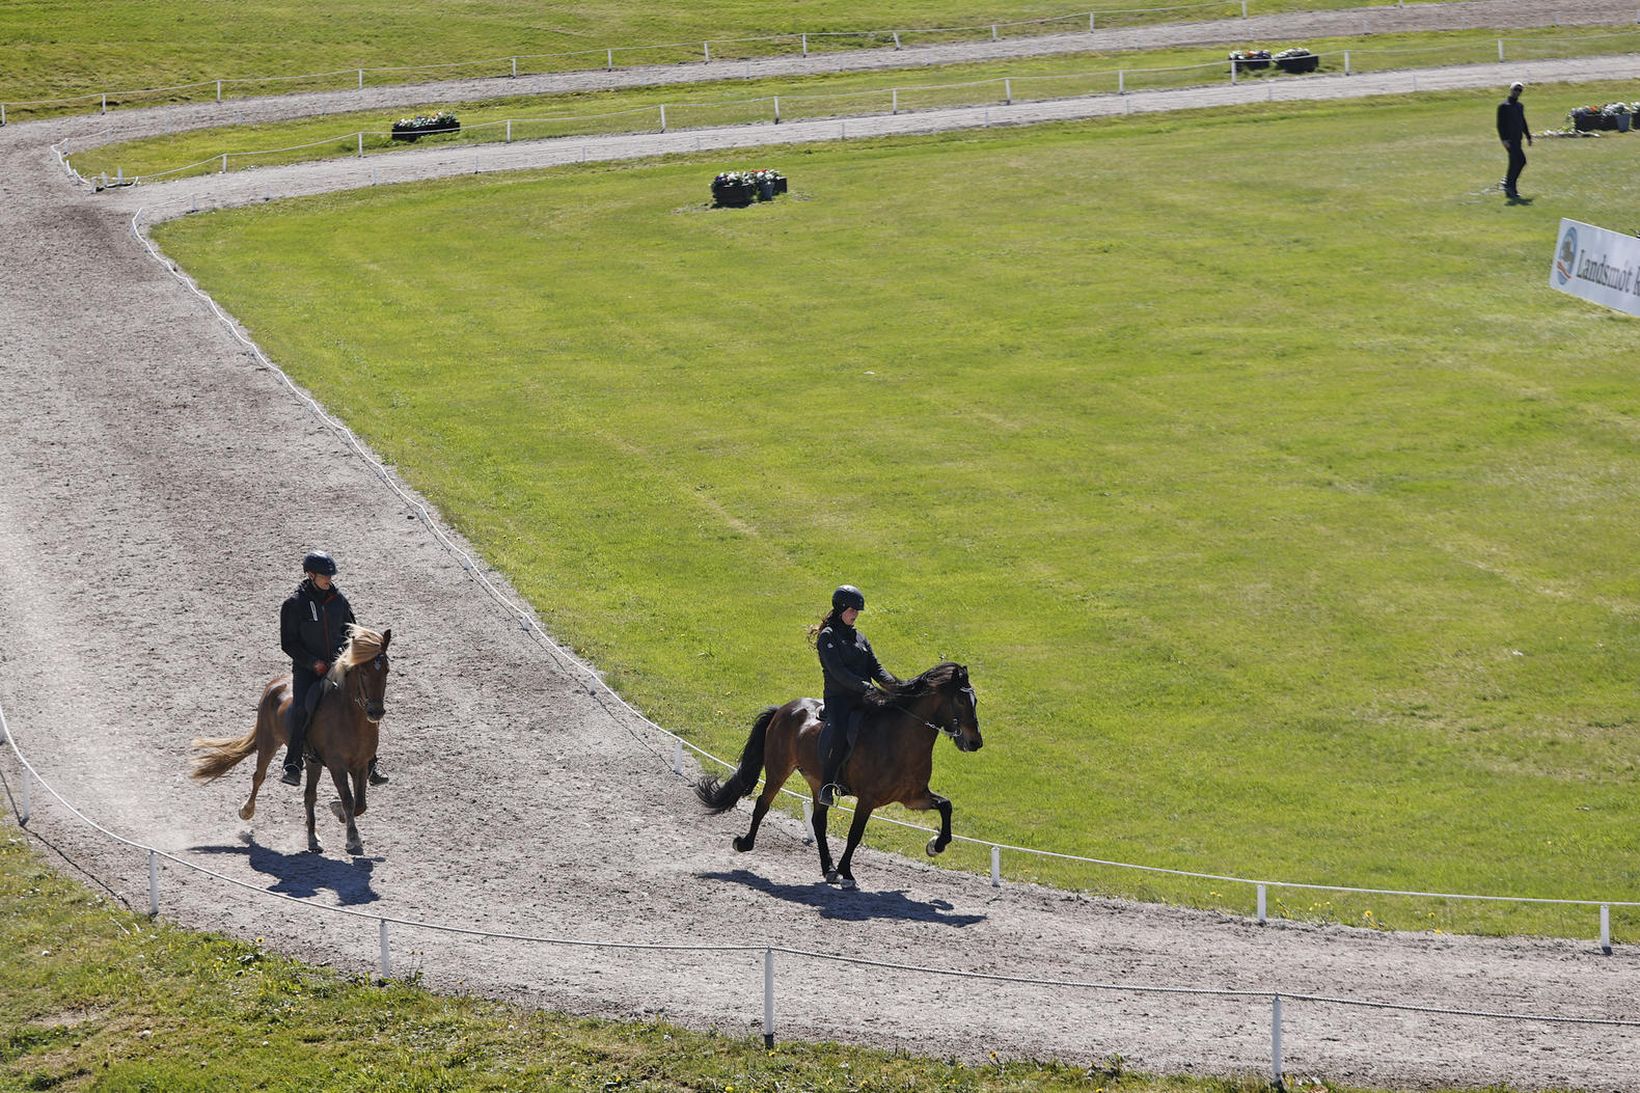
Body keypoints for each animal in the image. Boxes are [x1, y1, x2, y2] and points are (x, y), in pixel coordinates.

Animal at [190, 626, 391, 853]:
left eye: (386, 670)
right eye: (363, 672)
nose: (376, 712)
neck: (350, 719)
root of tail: (275, 684)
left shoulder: (360, 764)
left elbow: (360, 804)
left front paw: (337, 812)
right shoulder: (337, 765)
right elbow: (348, 800)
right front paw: (353, 839)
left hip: (313, 762)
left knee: (309, 796)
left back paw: (313, 838)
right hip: (269, 742)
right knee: (259, 776)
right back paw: (247, 810)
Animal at [695, 659, 977, 892]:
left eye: (975, 701)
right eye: (962, 701)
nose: (975, 742)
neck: (900, 740)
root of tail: (784, 709)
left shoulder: (913, 797)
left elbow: (946, 806)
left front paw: (935, 845)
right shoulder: (868, 799)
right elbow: (855, 835)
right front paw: (847, 874)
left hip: (818, 782)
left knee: (818, 822)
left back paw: (828, 869)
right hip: (778, 770)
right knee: (763, 805)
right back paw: (745, 843)